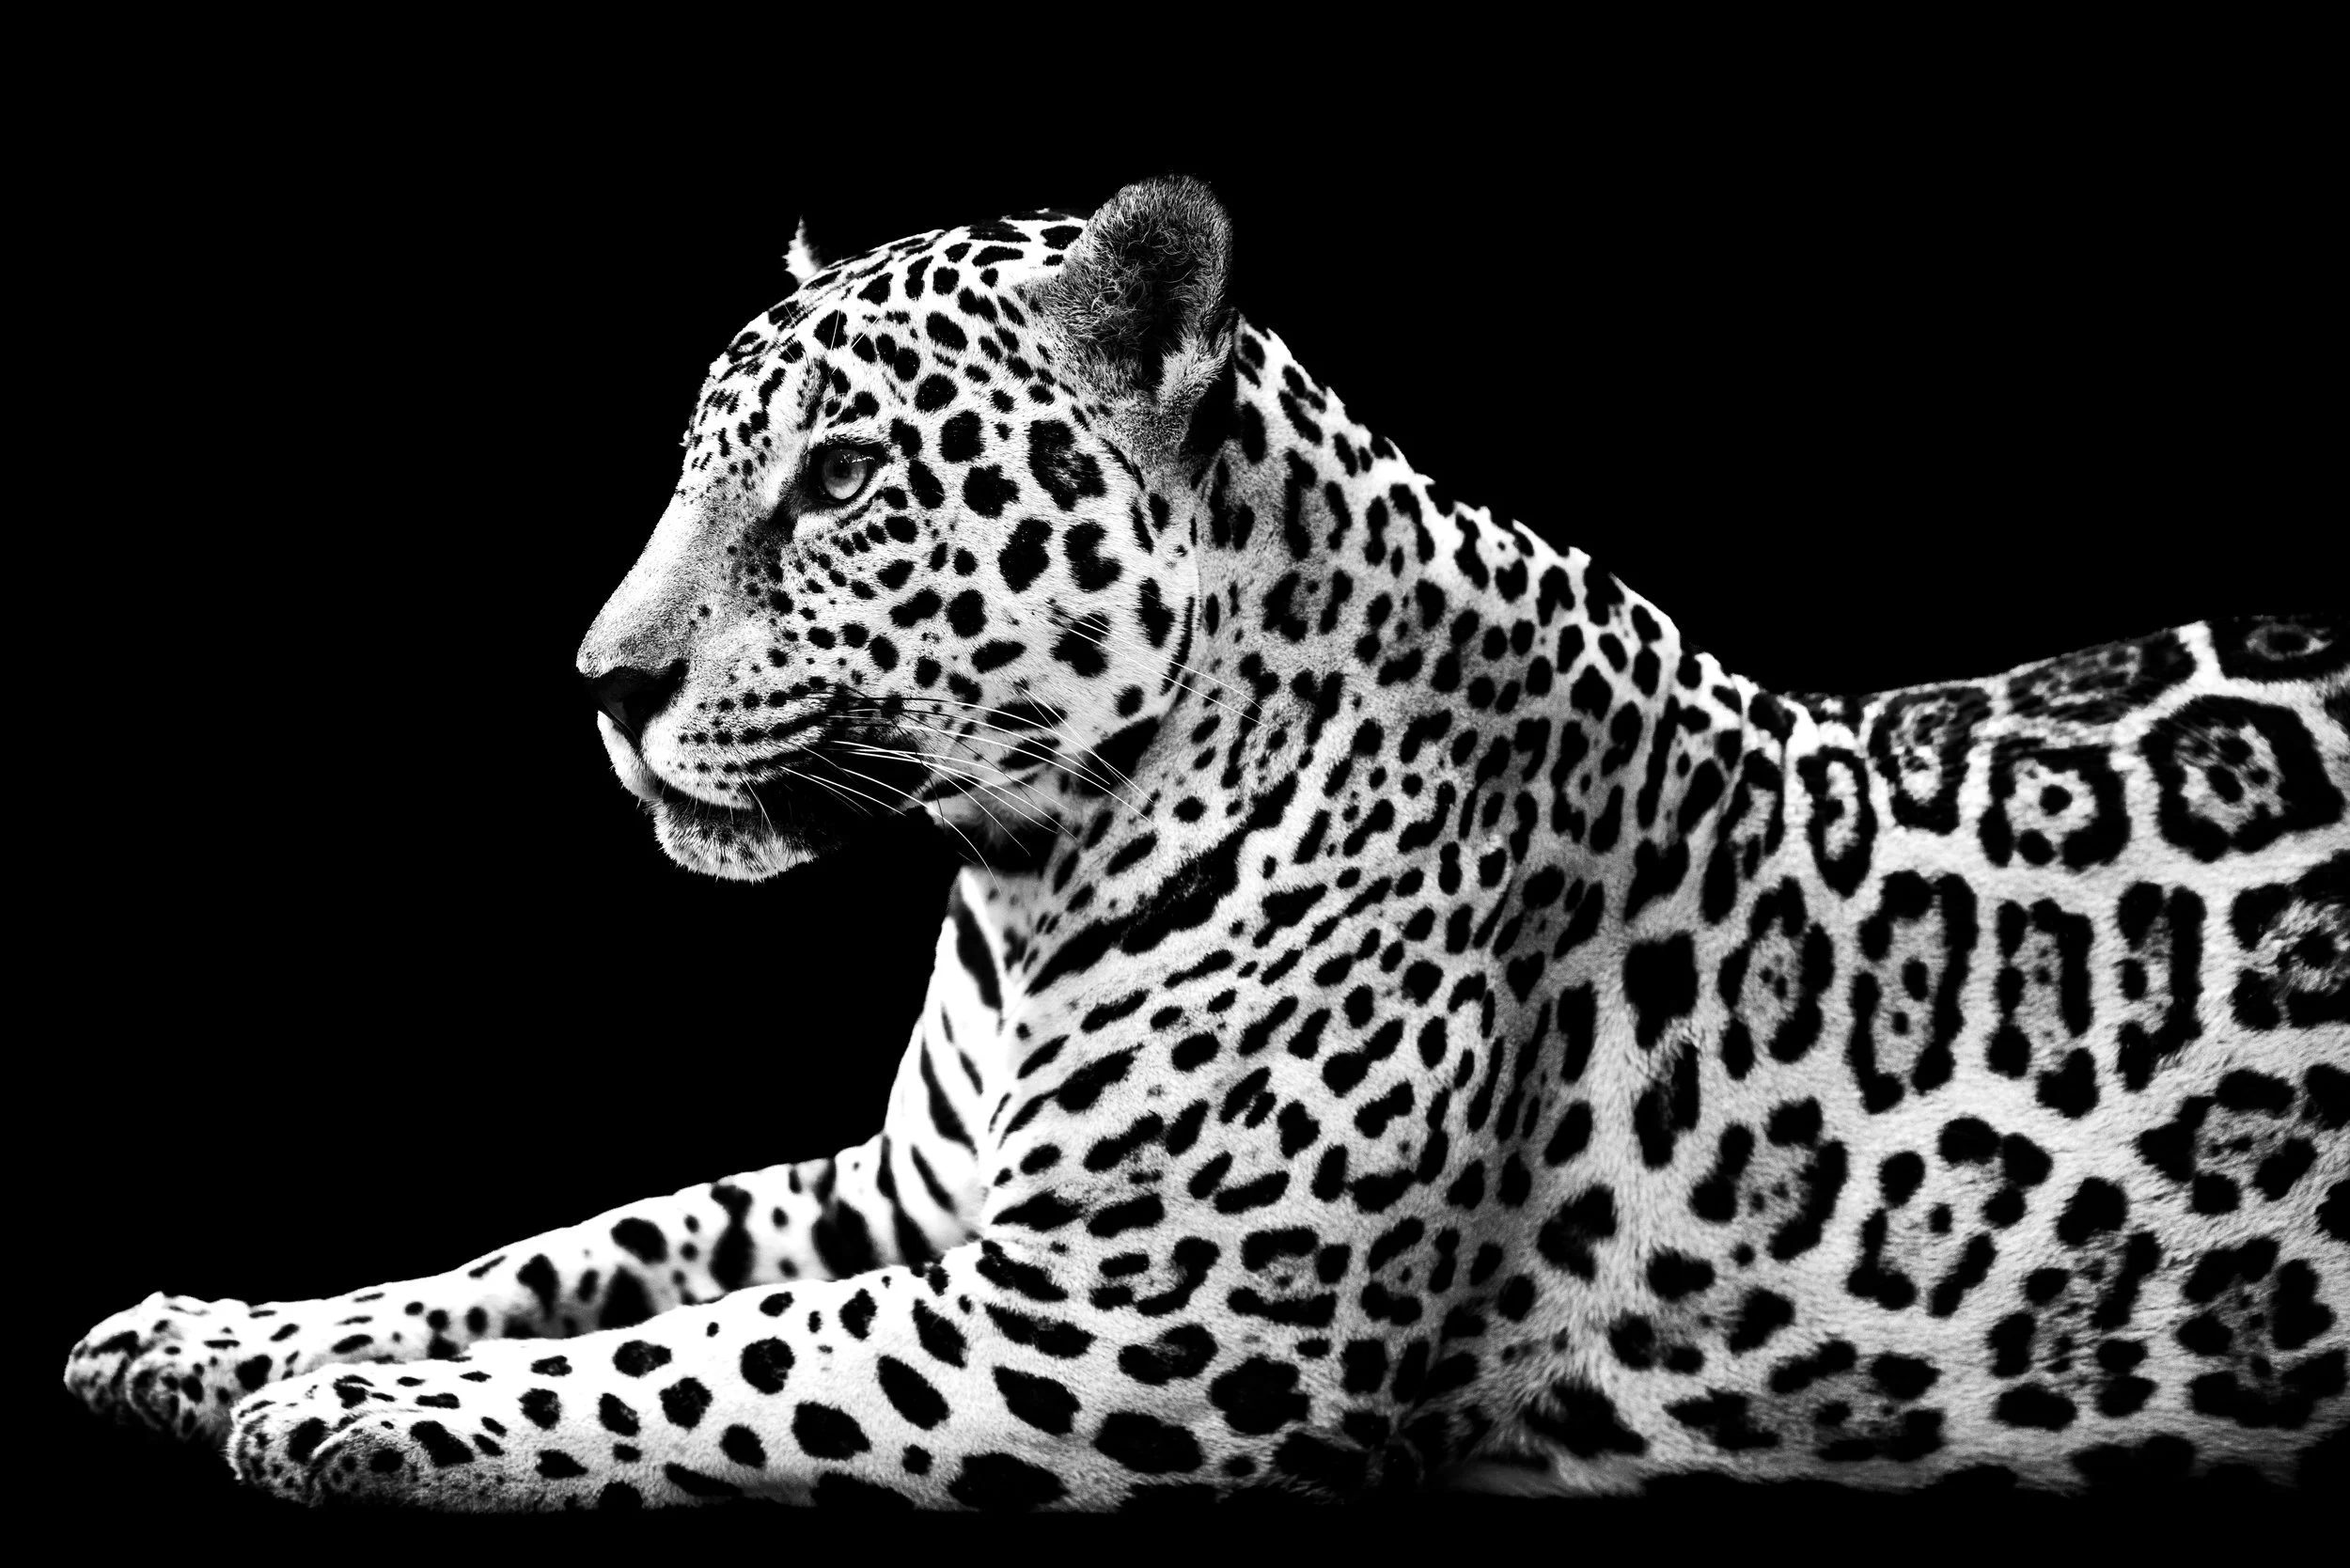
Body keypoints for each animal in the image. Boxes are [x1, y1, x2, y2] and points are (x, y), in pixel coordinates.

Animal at [64, 175, 2348, 1510]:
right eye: (700, 464)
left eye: (839, 478)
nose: (599, 683)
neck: (1015, 874)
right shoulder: (902, 1196)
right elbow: (566, 1250)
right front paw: (221, 1335)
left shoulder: (1122, 1323)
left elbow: (683, 1356)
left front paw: (365, 1416)